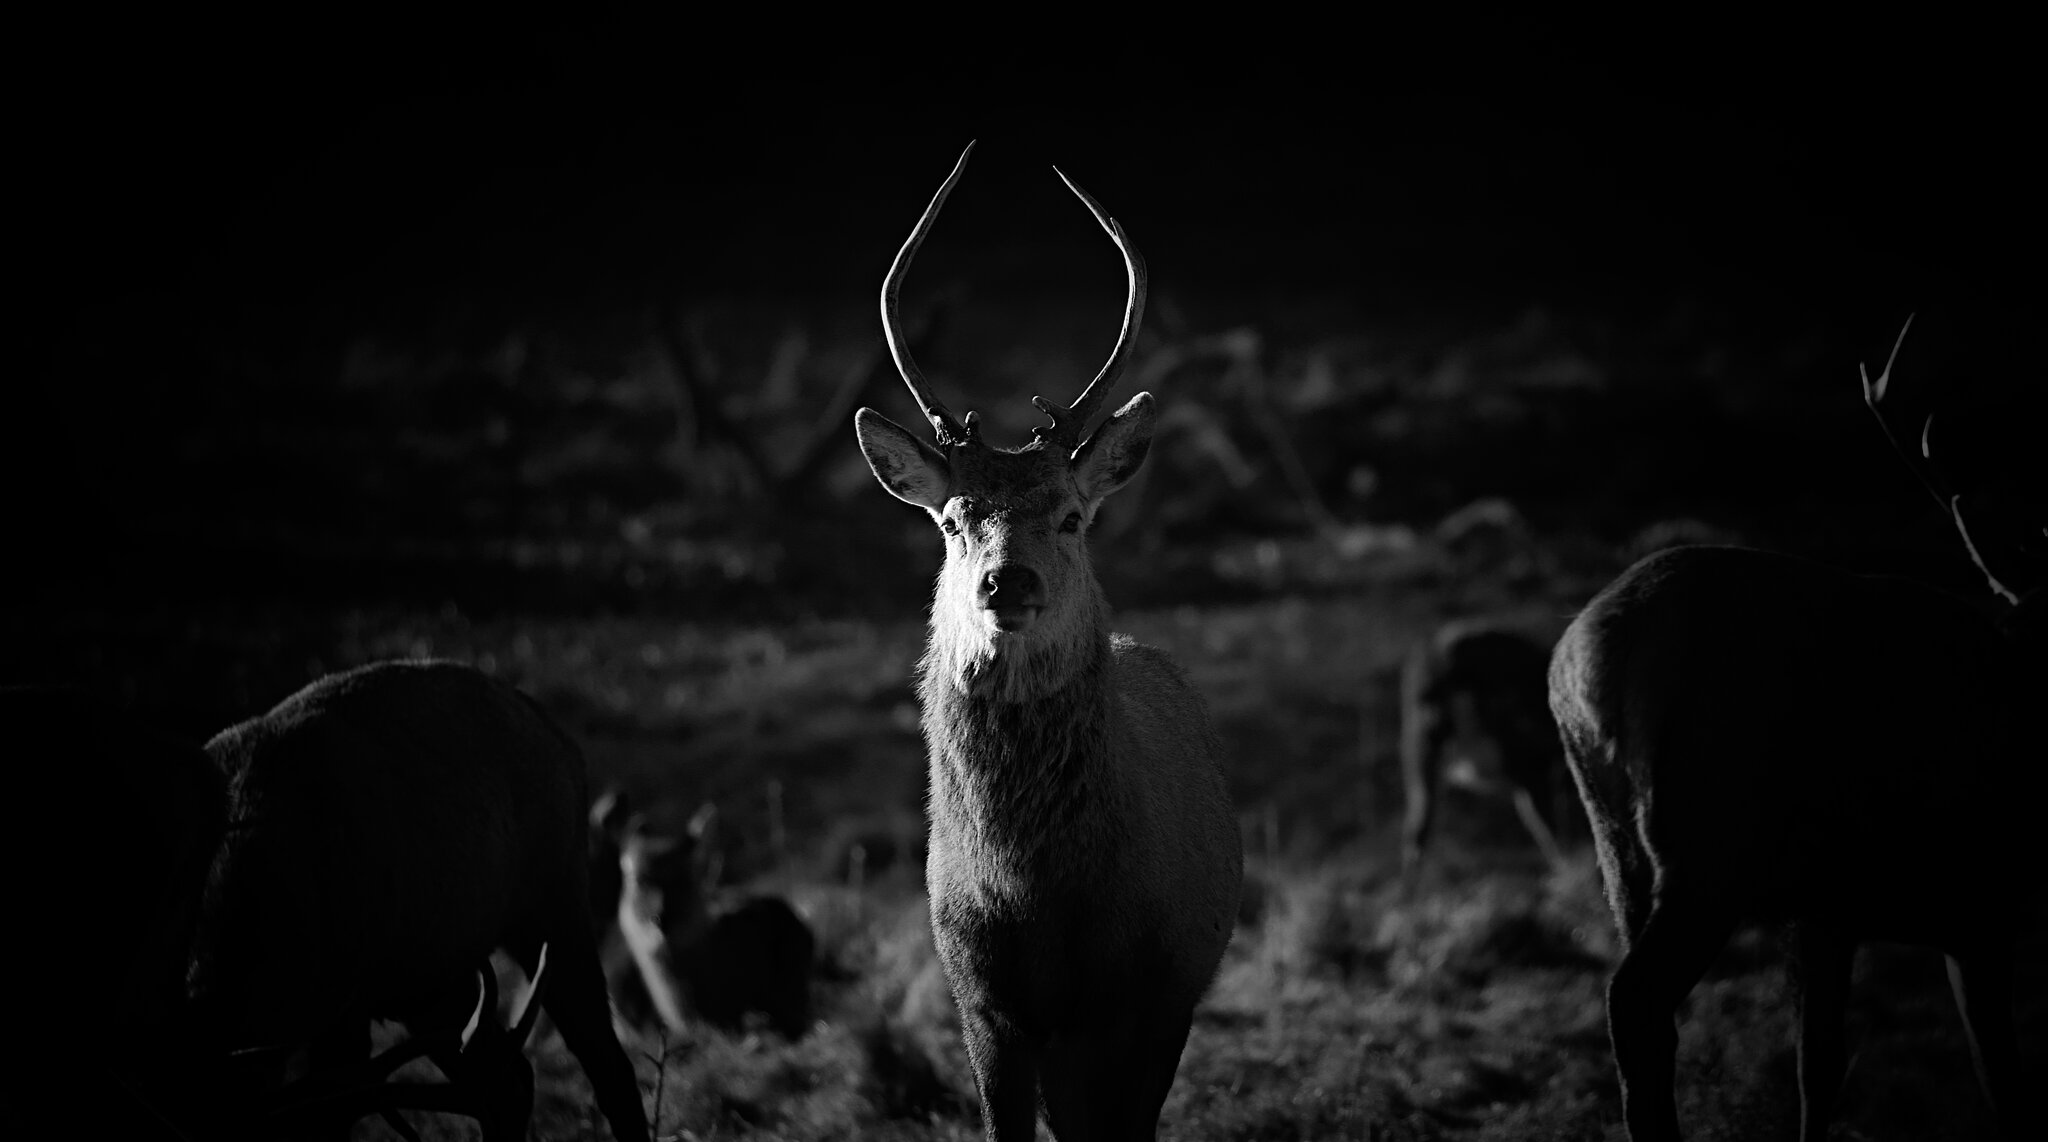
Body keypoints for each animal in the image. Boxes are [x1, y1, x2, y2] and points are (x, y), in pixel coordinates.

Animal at [190, 663, 647, 1142]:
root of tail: (564, 743)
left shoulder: (344, 1003)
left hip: (554, 908)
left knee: (607, 1066)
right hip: (435, 979)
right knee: (507, 1079)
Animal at [851, 145, 1245, 1142]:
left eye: (1070, 516)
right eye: (953, 520)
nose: (1008, 582)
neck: (1040, 899)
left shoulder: (1150, 993)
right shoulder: (980, 1000)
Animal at [1548, 317, 2048, 1137]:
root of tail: (1591, 657)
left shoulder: (1828, 908)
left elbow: (1819, 1062)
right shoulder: (1979, 902)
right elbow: (2001, 1083)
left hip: (1617, 846)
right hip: (1709, 843)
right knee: (1635, 998)